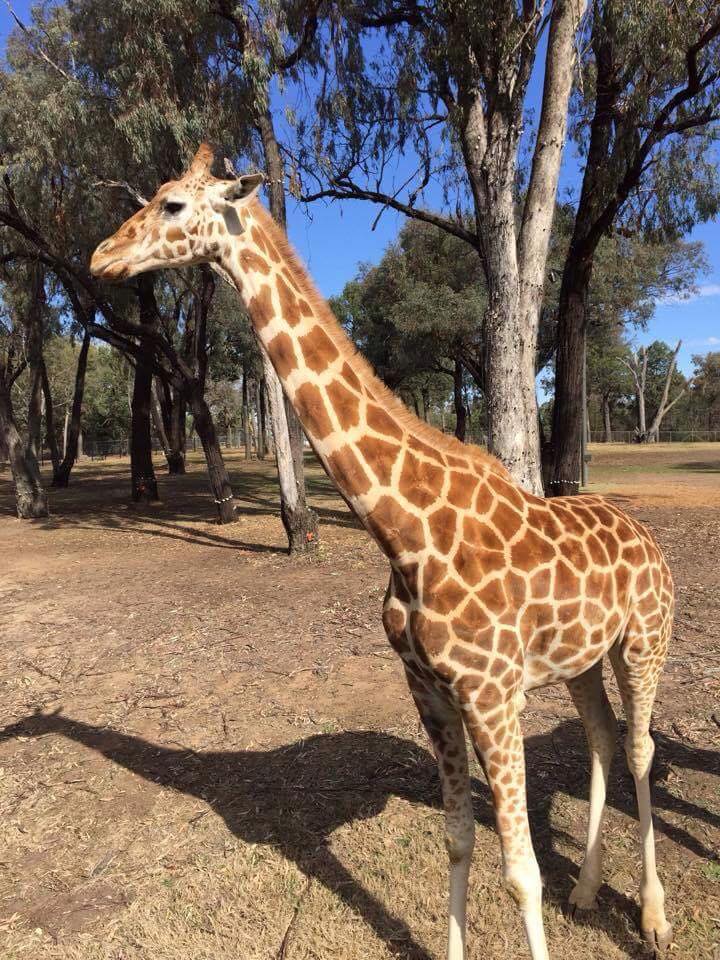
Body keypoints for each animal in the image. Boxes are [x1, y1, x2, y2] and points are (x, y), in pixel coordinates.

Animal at [90, 144, 675, 960]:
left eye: (173, 204)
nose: (100, 256)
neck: (404, 533)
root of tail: (646, 535)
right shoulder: (428, 688)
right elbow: (459, 839)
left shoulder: (492, 695)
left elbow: (521, 872)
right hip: (582, 658)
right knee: (600, 739)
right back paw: (588, 890)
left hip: (644, 641)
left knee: (644, 747)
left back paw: (652, 916)